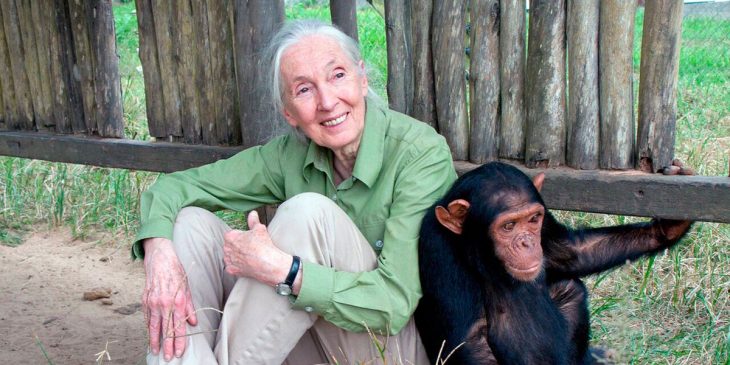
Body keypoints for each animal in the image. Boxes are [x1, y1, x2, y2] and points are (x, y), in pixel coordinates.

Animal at [416, 163, 688, 364]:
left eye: (533, 219)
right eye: (508, 226)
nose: (527, 243)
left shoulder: (545, 220)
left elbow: (570, 252)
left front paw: (667, 228)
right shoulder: (438, 248)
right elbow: (472, 342)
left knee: (569, 289)